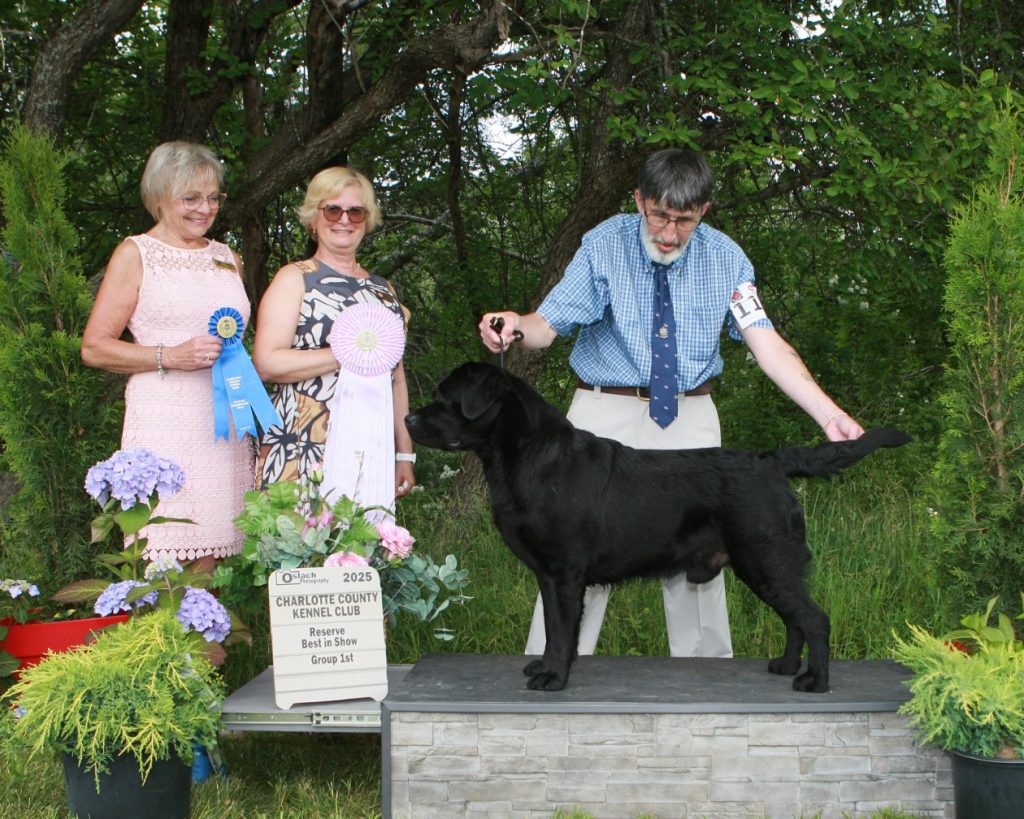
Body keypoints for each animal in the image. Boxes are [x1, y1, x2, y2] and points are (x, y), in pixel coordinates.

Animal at [405, 362, 911, 692]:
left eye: (446, 397)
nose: (408, 418)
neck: (529, 458)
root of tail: (772, 462)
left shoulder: (565, 572)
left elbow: (563, 629)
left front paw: (552, 677)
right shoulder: (548, 576)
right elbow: (552, 627)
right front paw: (546, 667)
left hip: (766, 559)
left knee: (813, 618)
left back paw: (814, 680)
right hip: (764, 565)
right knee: (795, 618)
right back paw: (787, 666)